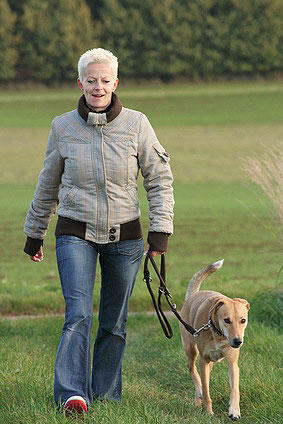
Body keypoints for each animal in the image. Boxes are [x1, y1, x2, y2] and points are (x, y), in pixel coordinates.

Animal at [180, 260, 251, 420]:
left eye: (243, 320)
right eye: (227, 320)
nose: (237, 342)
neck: (218, 334)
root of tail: (193, 296)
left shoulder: (232, 362)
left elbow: (235, 388)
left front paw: (234, 410)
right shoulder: (203, 360)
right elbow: (206, 391)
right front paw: (208, 412)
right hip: (190, 348)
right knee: (191, 368)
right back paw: (198, 394)